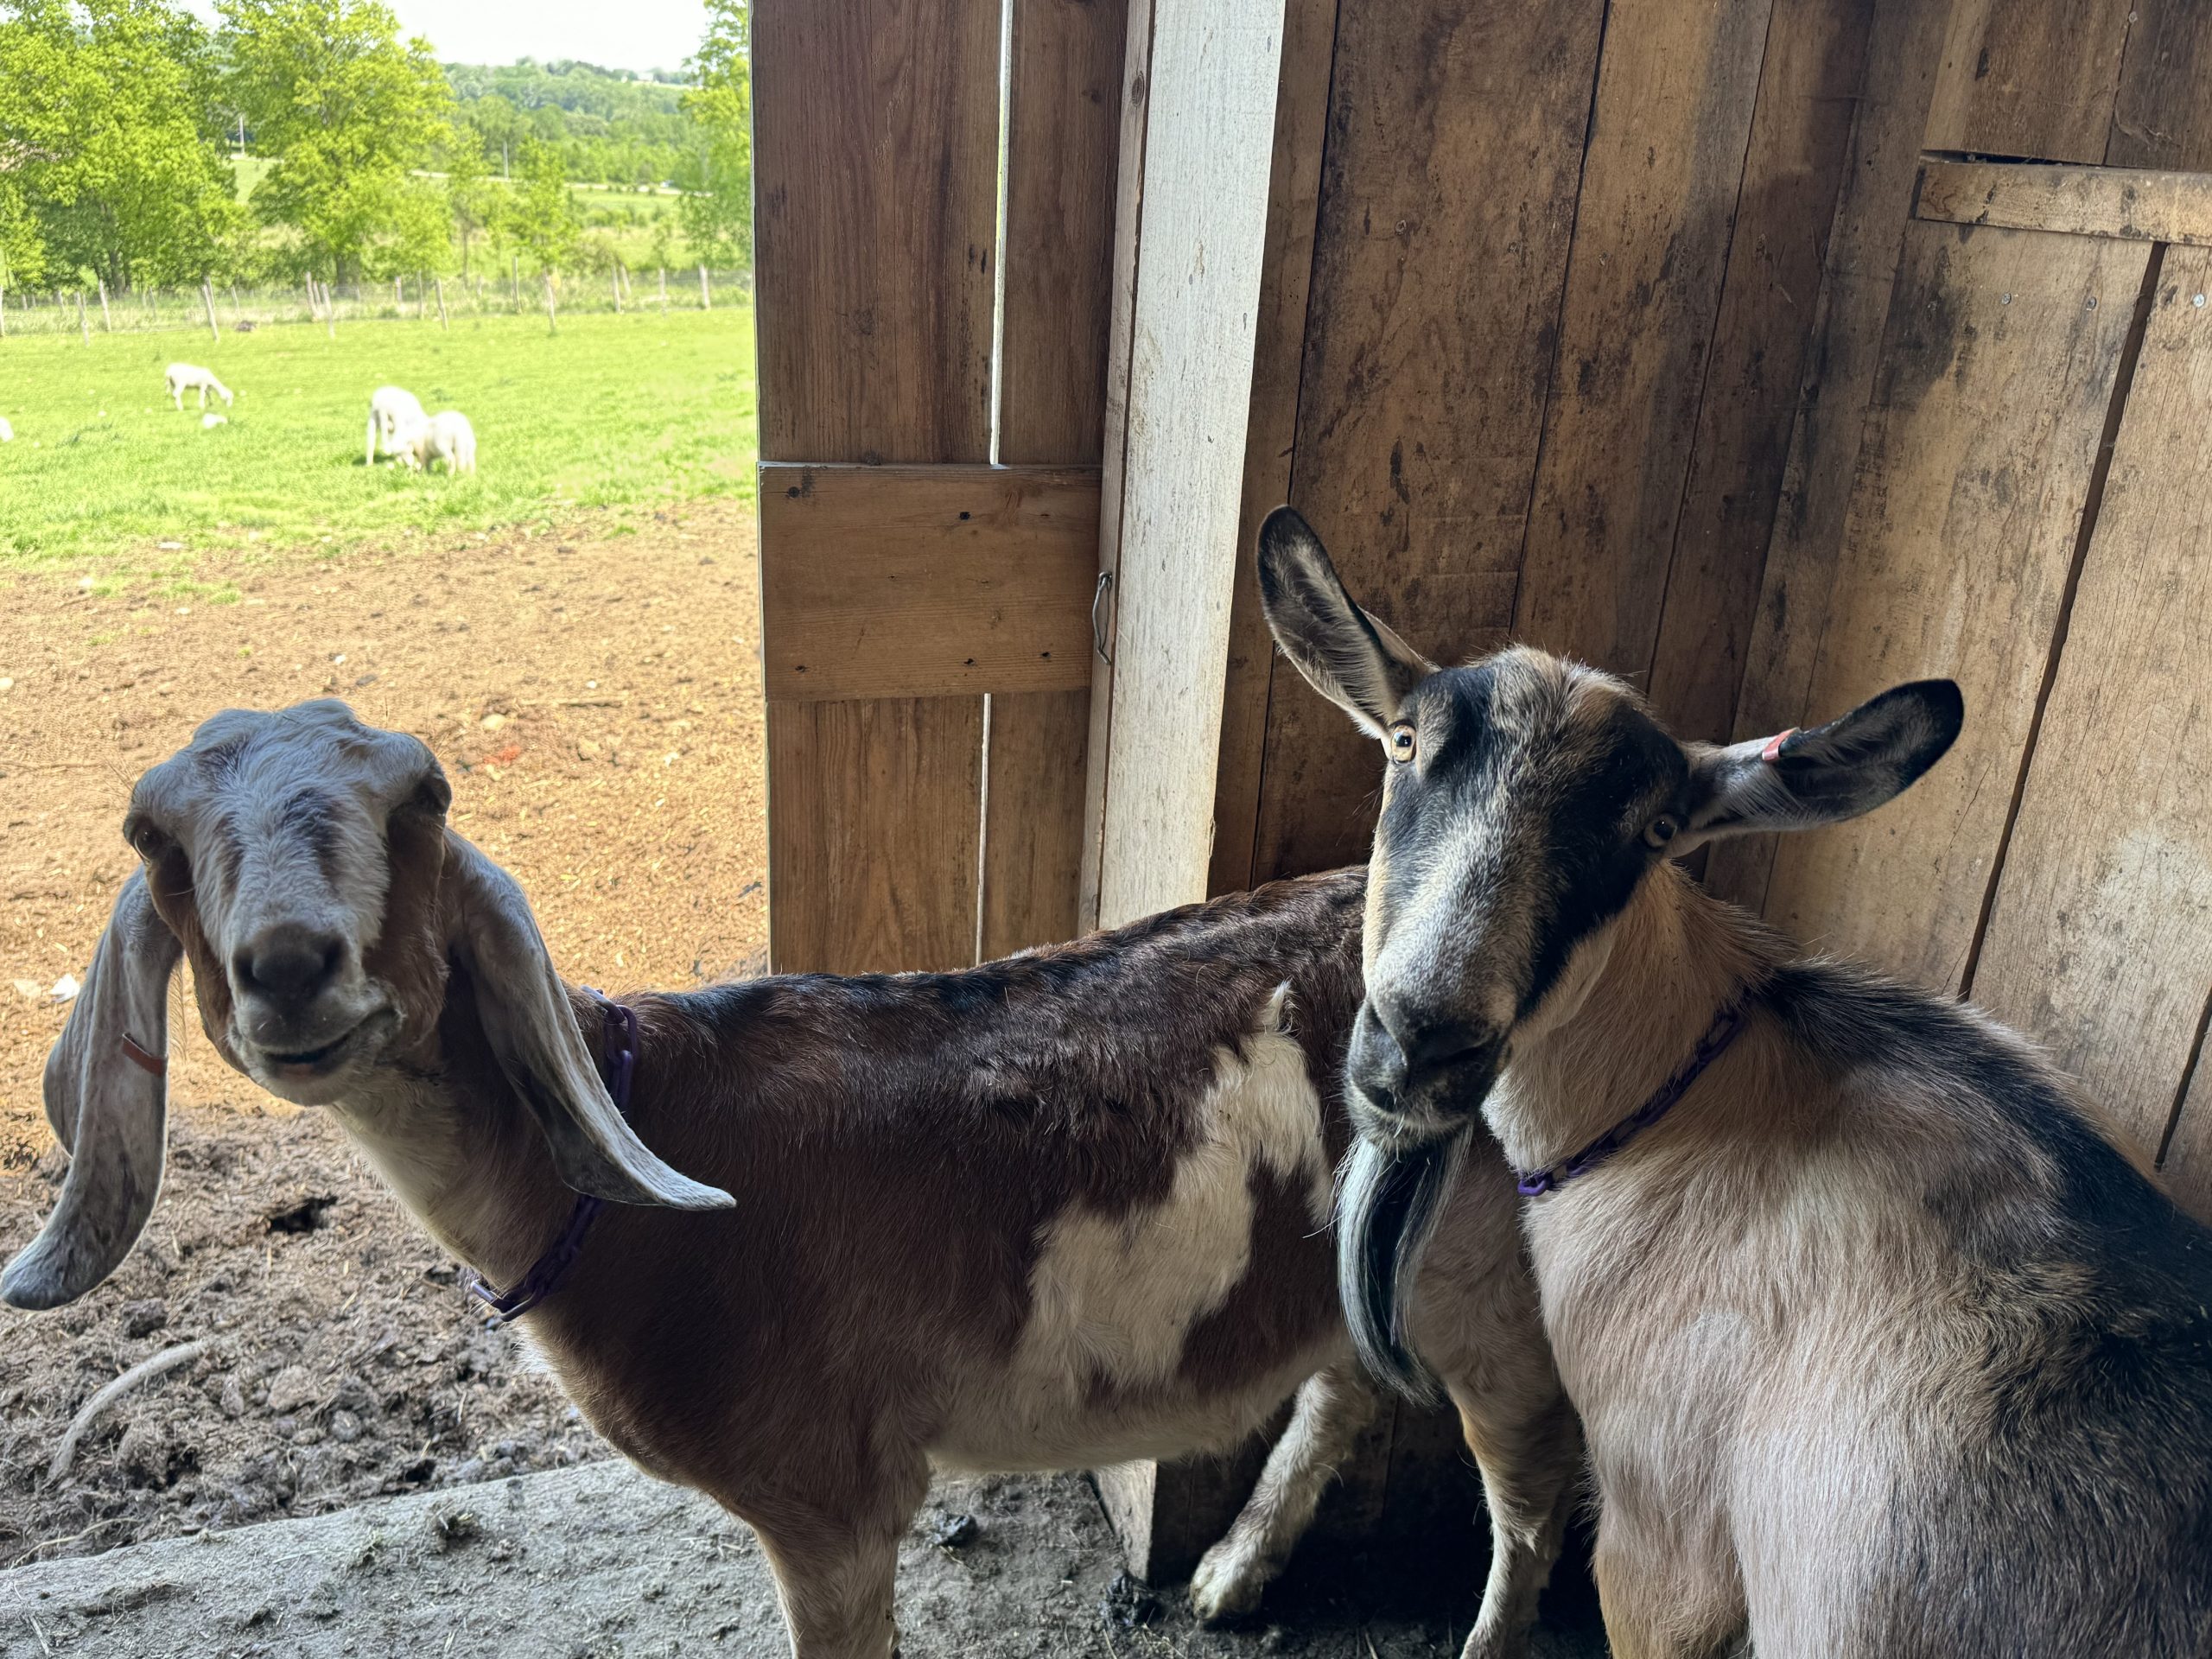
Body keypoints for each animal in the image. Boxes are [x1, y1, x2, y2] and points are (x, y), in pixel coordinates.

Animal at [1, 701, 1582, 1659]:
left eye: (427, 802)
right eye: (152, 833)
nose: (289, 966)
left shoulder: (830, 1497)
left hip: (1497, 1281)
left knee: (1532, 1489)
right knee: (1349, 1383)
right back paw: (1232, 1576)